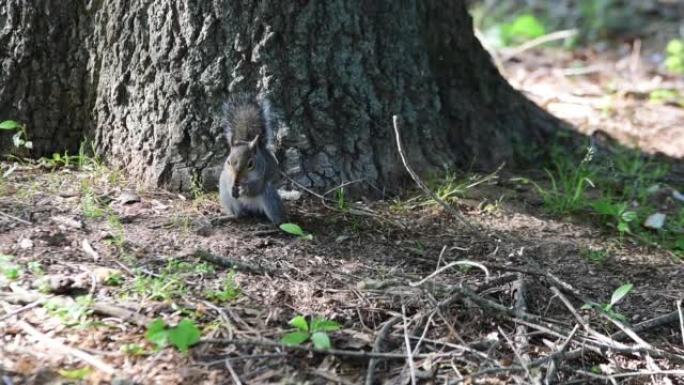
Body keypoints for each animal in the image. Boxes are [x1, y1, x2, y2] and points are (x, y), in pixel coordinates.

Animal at [218, 93, 284, 224]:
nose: (237, 179)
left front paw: (244, 189)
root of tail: (251, 207)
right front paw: (233, 186)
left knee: (277, 215)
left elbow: (255, 188)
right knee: (238, 215)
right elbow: (229, 181)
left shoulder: (261, 176)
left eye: (250, 164)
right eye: (228, 162)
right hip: (227, 196)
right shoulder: (228, 175)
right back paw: (228, 217)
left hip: (269, 195)